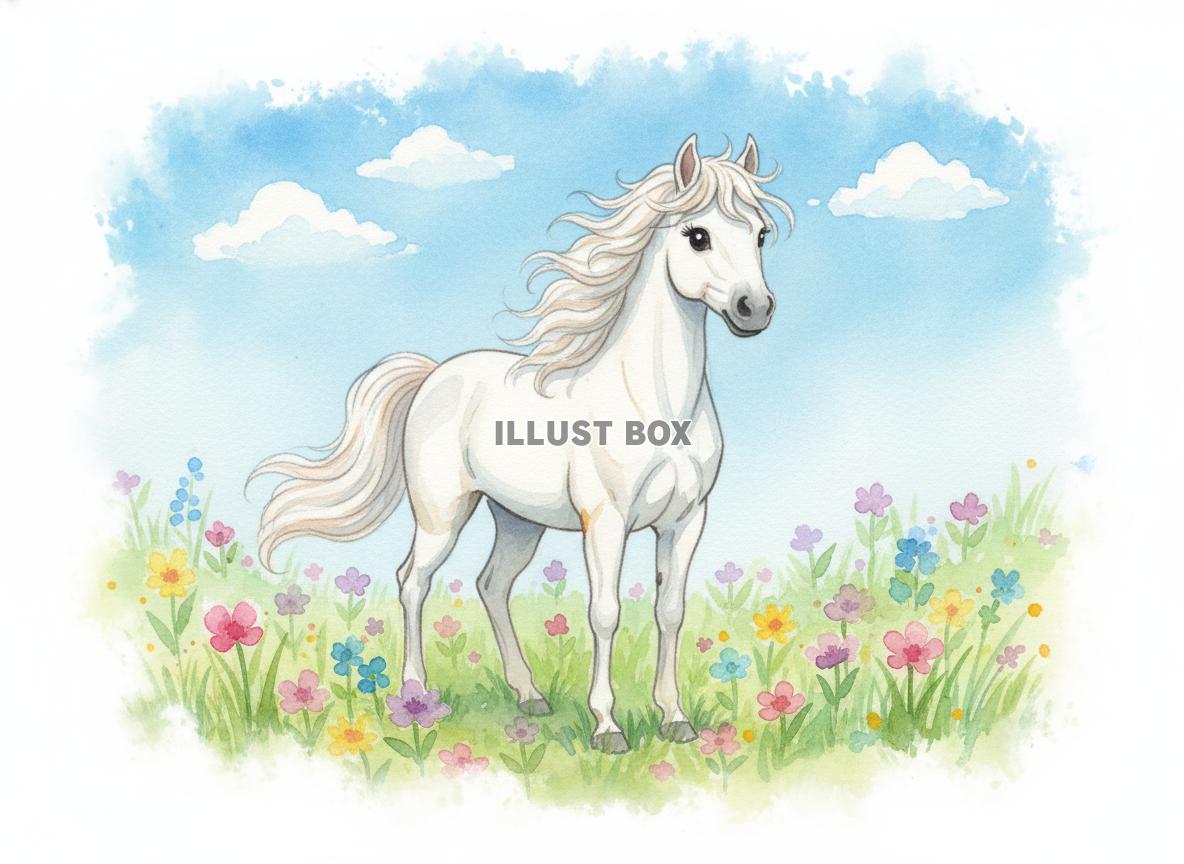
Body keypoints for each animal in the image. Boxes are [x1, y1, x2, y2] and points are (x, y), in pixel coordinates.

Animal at [252, 134, 793, 752]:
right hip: (442, 514)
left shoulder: (686, 521)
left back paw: (530, 696)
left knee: (492, 585)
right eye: (697, 235)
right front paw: (607, 727)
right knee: (413, 581)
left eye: (761, 234)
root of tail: (434, 374)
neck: (655, 402)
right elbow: (604, 612)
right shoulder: (606, 522)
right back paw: (415, 694)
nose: (755, 309)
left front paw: (674, 719)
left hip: (517, 519)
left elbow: (670, 611)